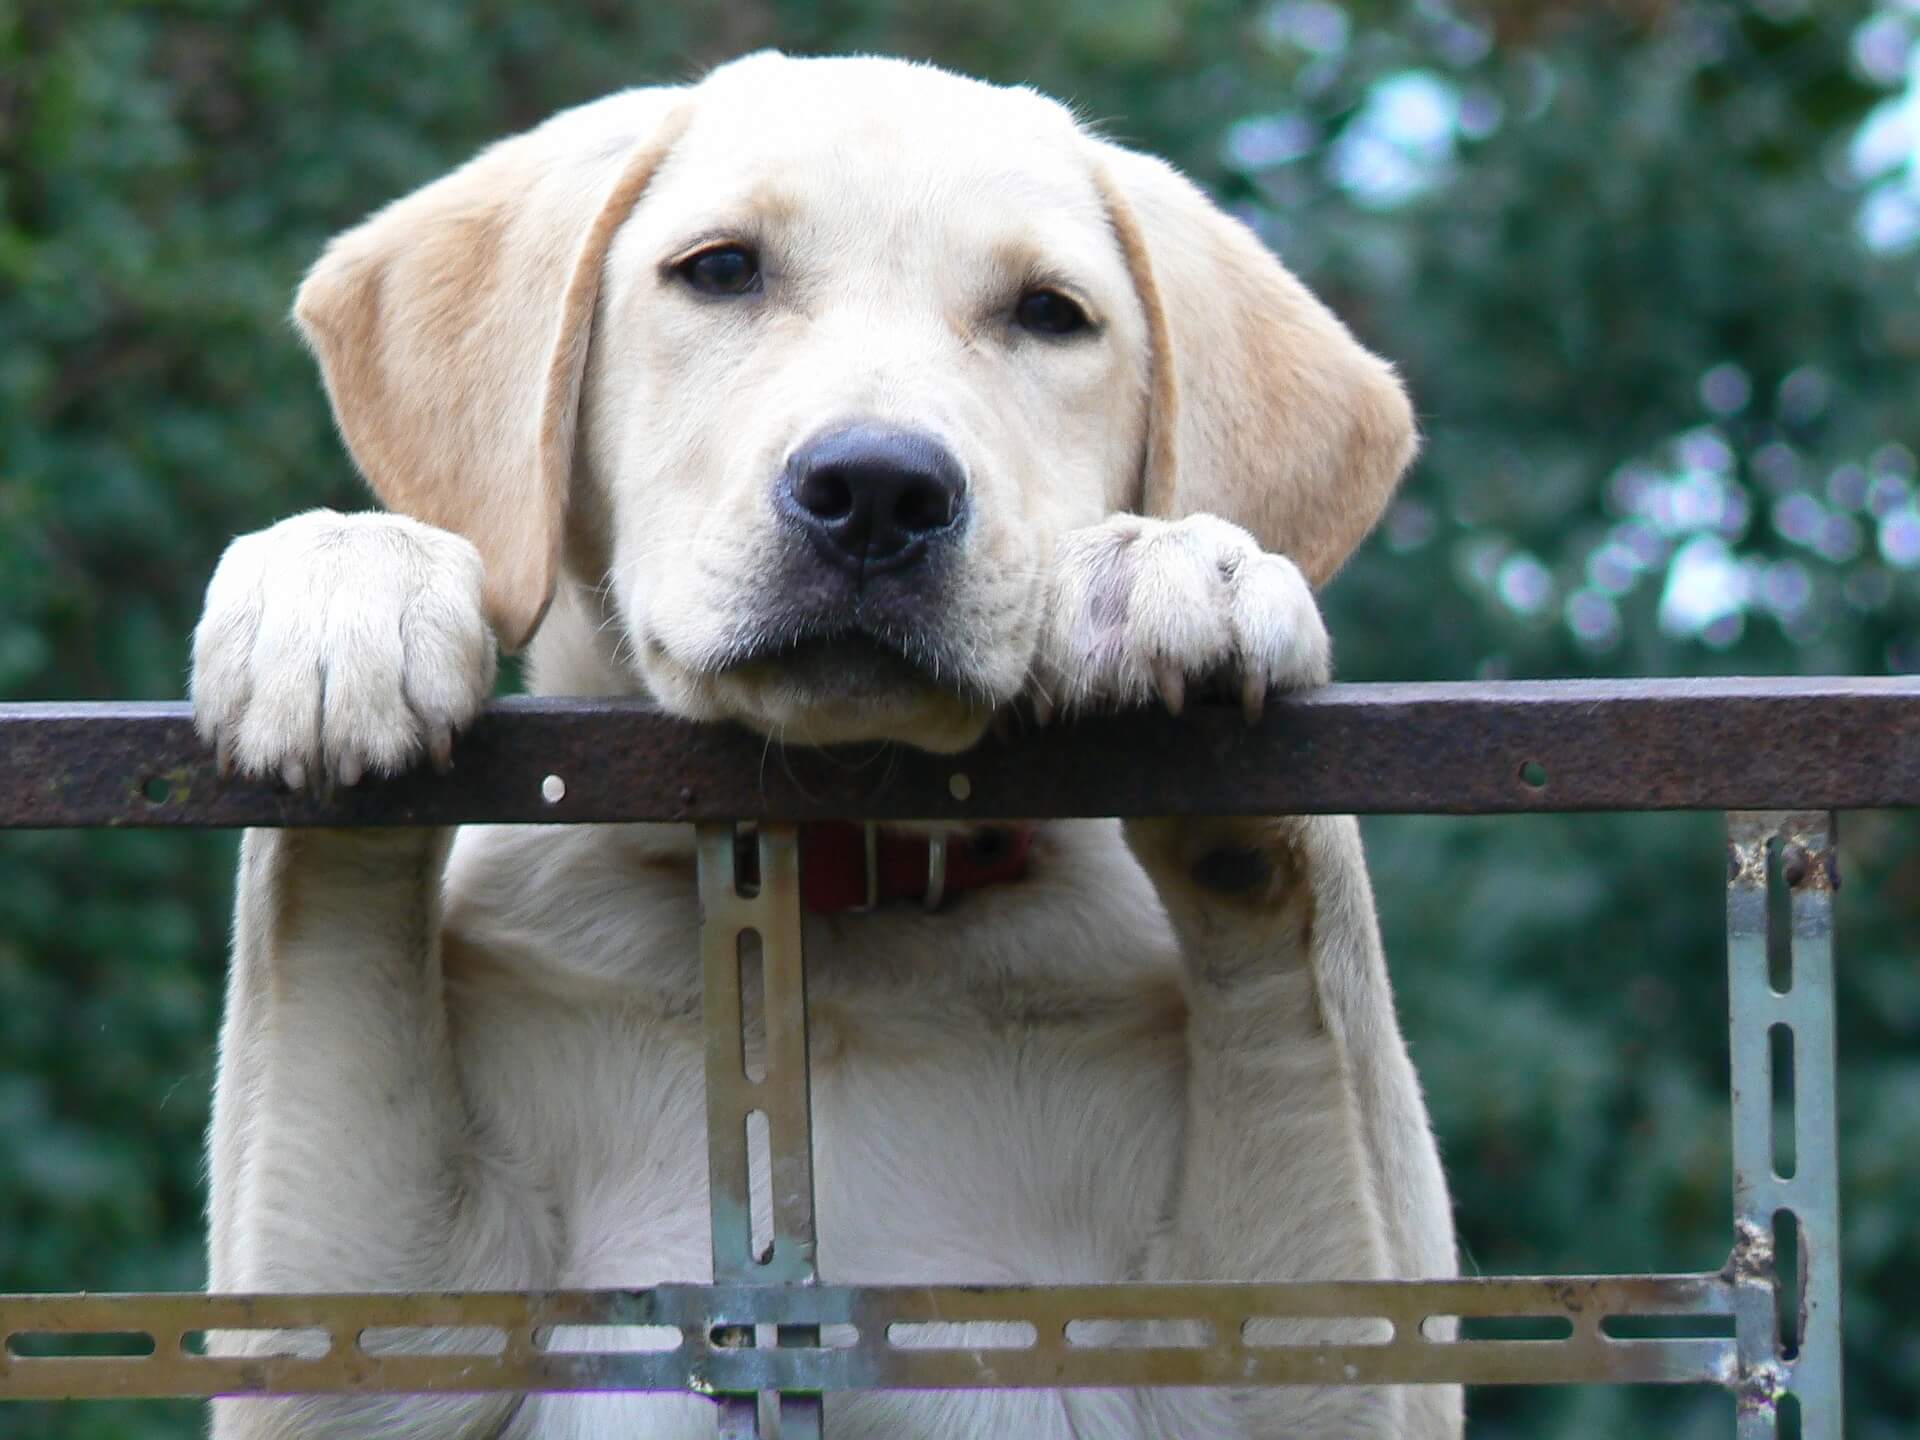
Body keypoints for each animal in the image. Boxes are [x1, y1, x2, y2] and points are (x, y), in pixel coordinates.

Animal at [191, 50, 1451, 1436]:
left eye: (1050, 315)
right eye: (722, 270)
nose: (879, 492)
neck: (845, 903)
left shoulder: (1276, 1352)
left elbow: (1308, 963)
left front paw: (1182, 569)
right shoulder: (392, 1328)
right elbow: (331, 932)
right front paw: (342, 588)